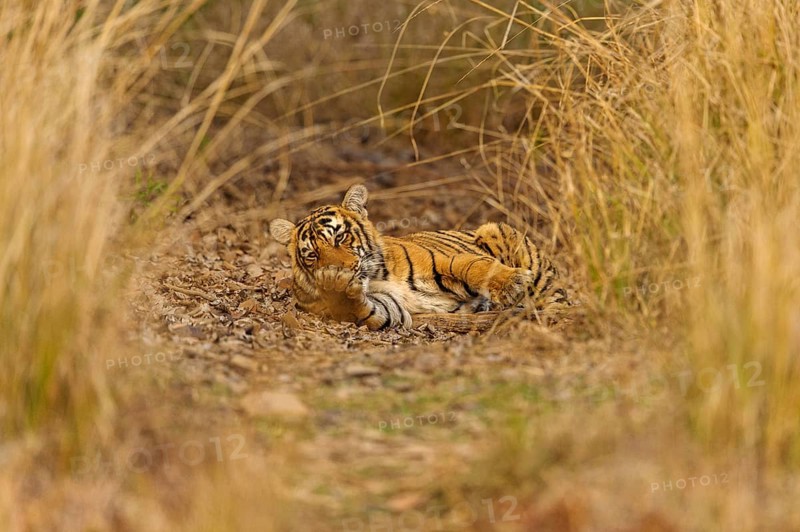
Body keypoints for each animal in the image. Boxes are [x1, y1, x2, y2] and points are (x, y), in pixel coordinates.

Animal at [269, 184, 571, 330]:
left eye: (340, 237)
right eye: (312, 254)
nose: (337, 273)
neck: (373, 279)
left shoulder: (445, 260)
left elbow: (474, 266)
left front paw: (511, 283)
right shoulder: (388, 306)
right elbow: (364, 309)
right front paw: (341, 288)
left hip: (500, 232)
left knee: (556, 295)